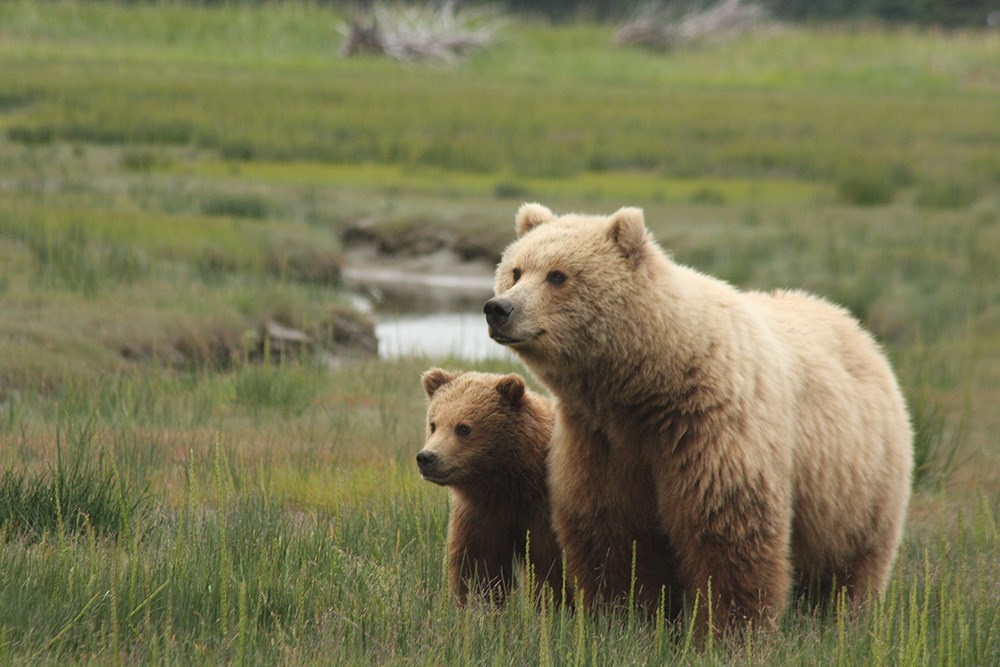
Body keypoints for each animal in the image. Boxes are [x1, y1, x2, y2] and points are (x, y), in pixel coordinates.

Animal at [416, 368, 567, 607]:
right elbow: (479, 568)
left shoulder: (544, 512)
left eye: (463, 428)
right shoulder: (483, 514)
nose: (426, 458)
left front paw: (550, 606)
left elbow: (551, 568)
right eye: (433, 424)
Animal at [483, 203, 913, 633]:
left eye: (558, 275)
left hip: (858, 481)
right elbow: (611, 534)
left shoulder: (709, 429)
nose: (498, 308)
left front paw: (730, 630)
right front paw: (620, 619)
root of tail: (856, 327)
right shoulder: (600, 441)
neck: (645, 388)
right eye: (516, 270)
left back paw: (845, 619)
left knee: (851, 565)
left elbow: (727, 534)